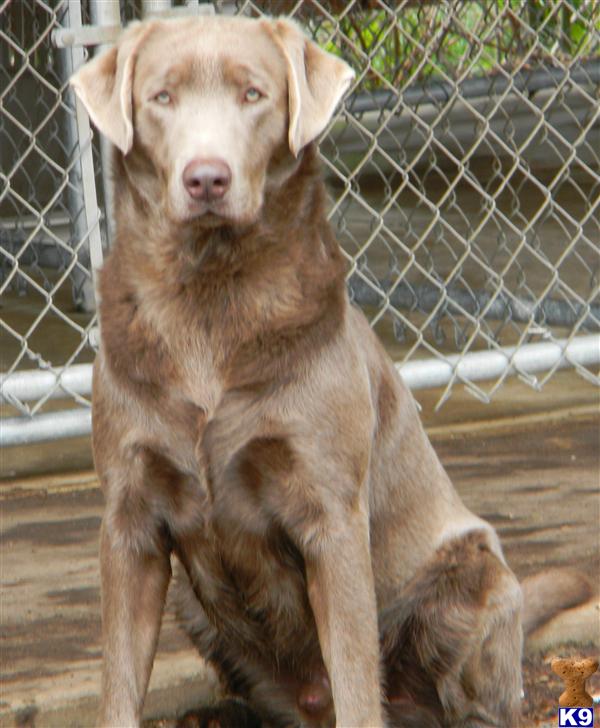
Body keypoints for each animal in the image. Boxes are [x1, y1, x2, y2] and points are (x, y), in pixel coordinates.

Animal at [70, 14, 524, 724]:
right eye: (161, 97)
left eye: (254, 94)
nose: (207, 178)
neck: (210, 296)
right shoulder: (129, 516)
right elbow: (118, 680)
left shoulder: (329, 509)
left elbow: (356, 674)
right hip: (194, 606)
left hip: (473, 576)